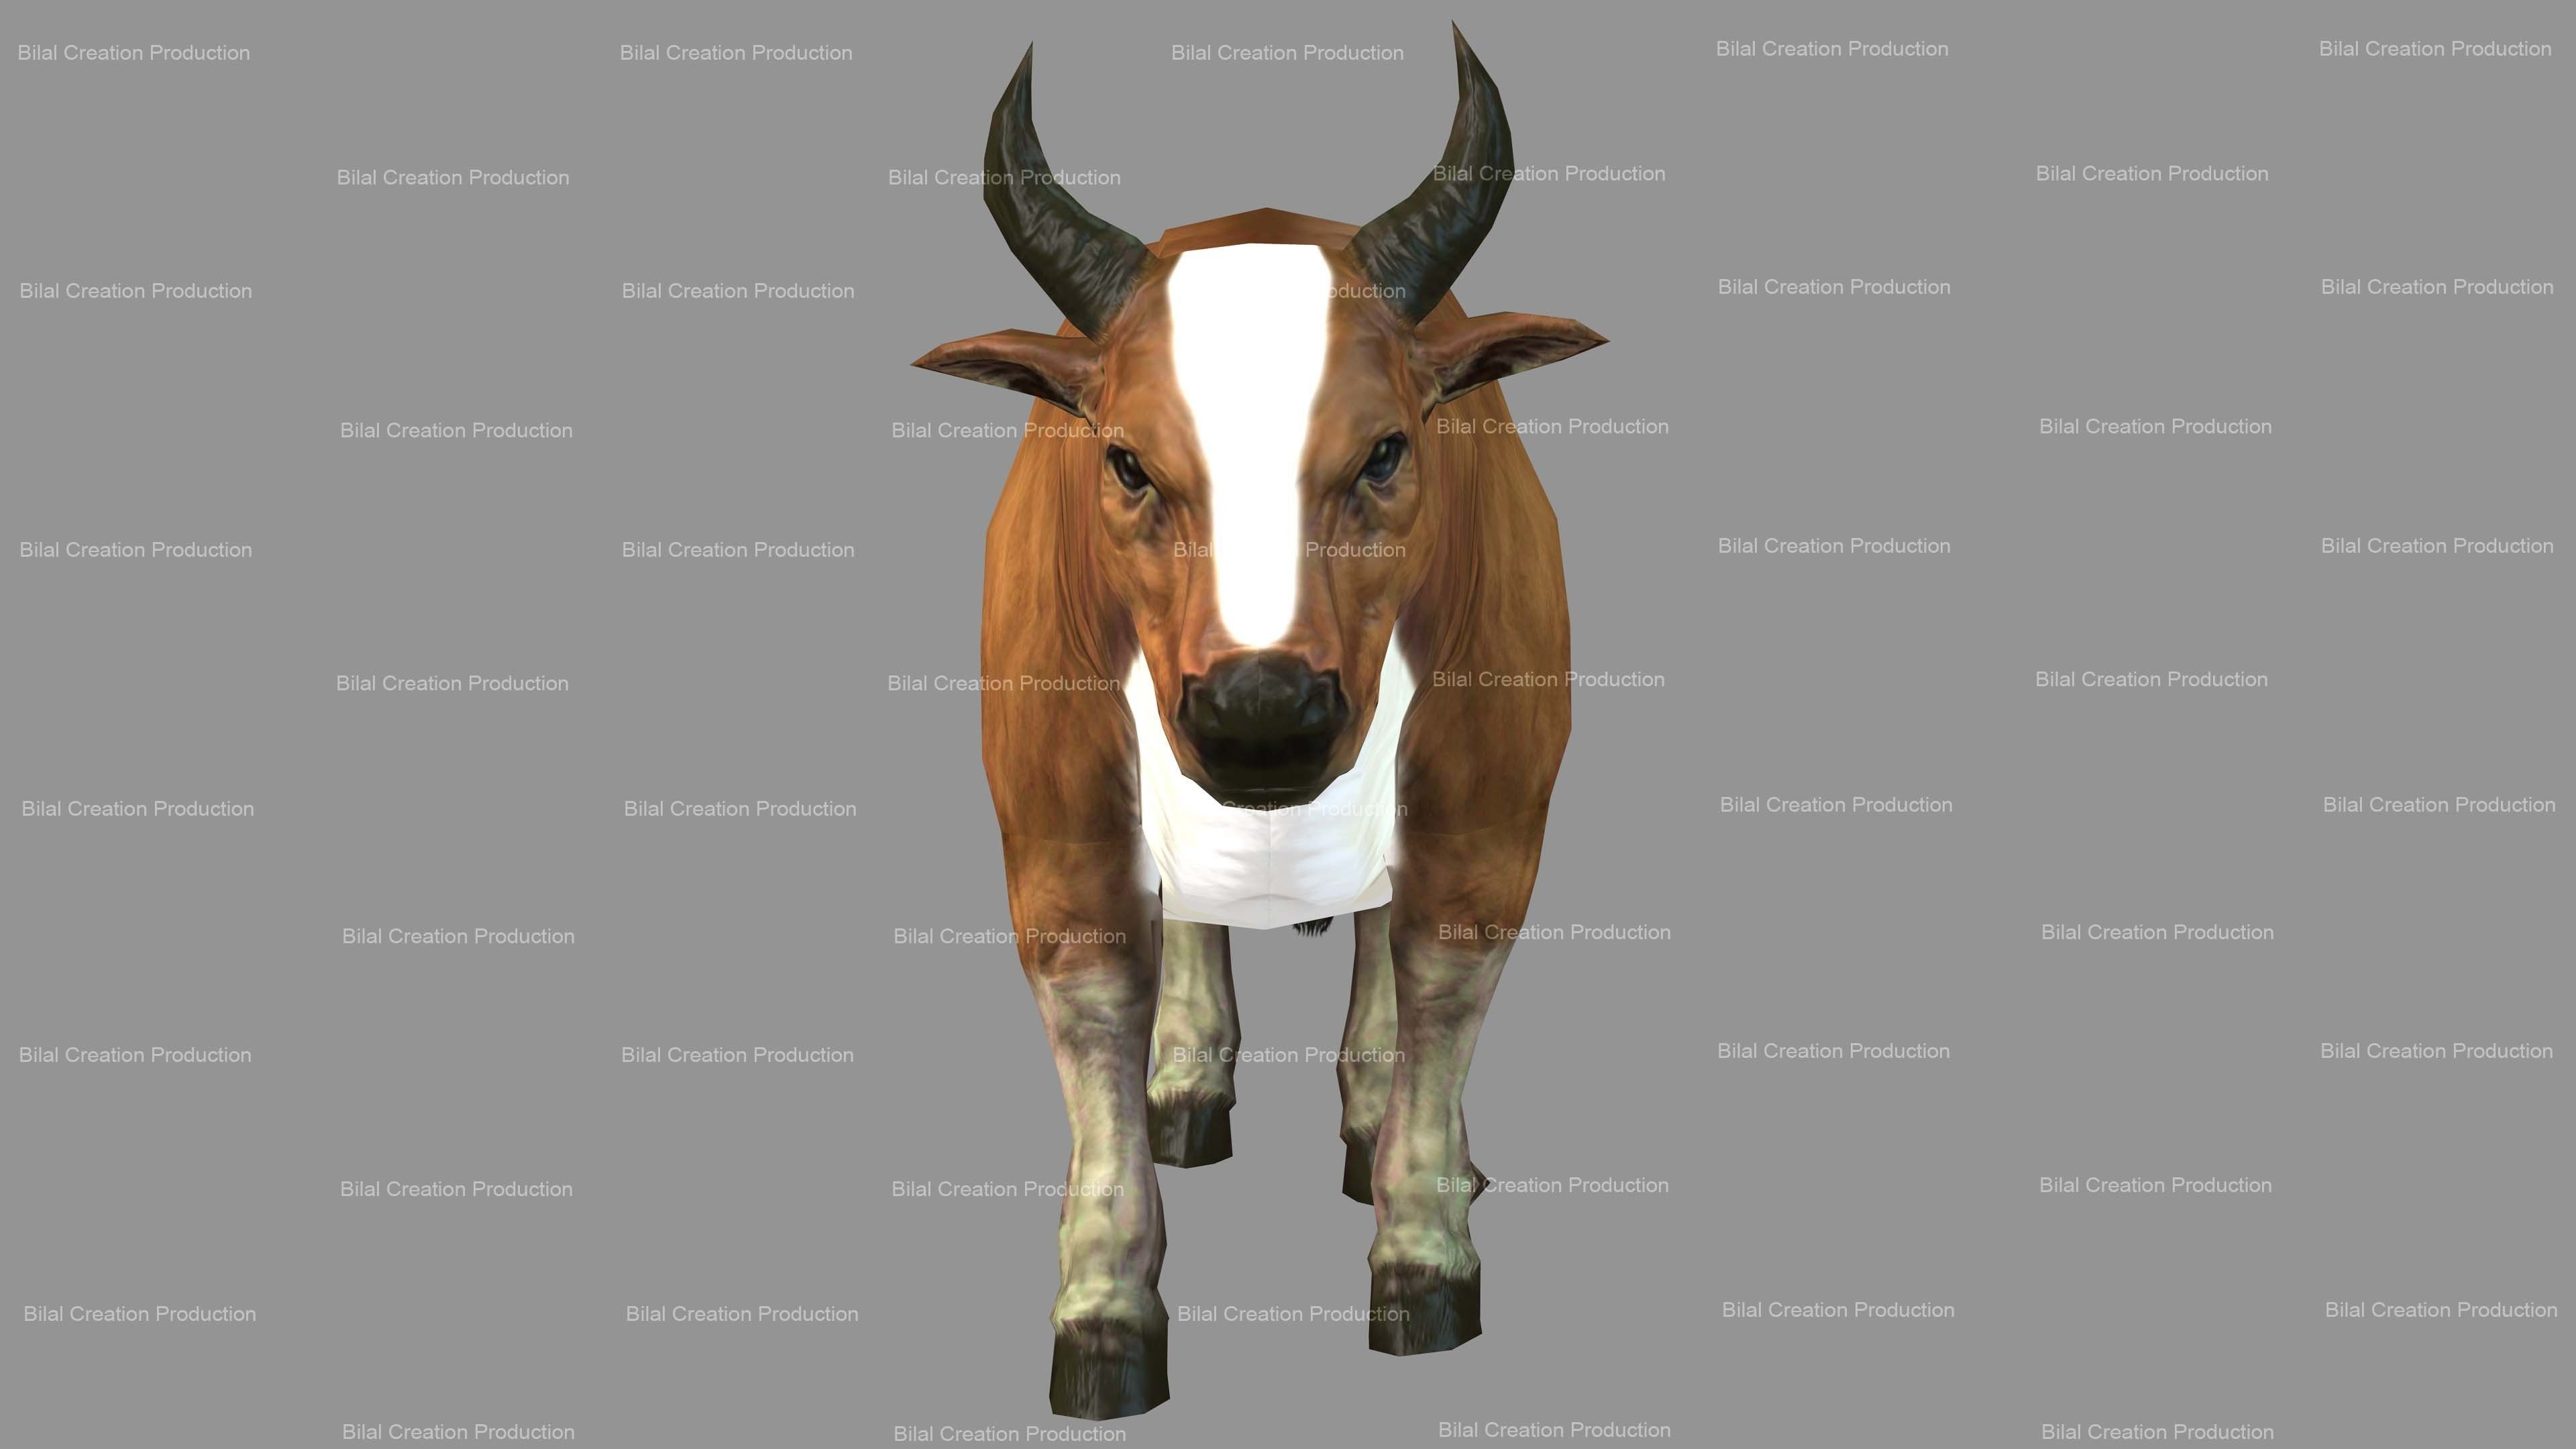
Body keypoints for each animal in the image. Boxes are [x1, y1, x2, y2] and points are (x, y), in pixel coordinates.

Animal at [913, 28, 1605, 1419]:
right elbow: (1098, 1013)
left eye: (1387, 449)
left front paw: (1422, 1253)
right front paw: (1103, 1314)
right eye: (1126, 462)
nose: (1261, 713)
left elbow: (1439, 980)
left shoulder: (1491, 815)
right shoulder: (1056, 831)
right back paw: (1188, 1080)